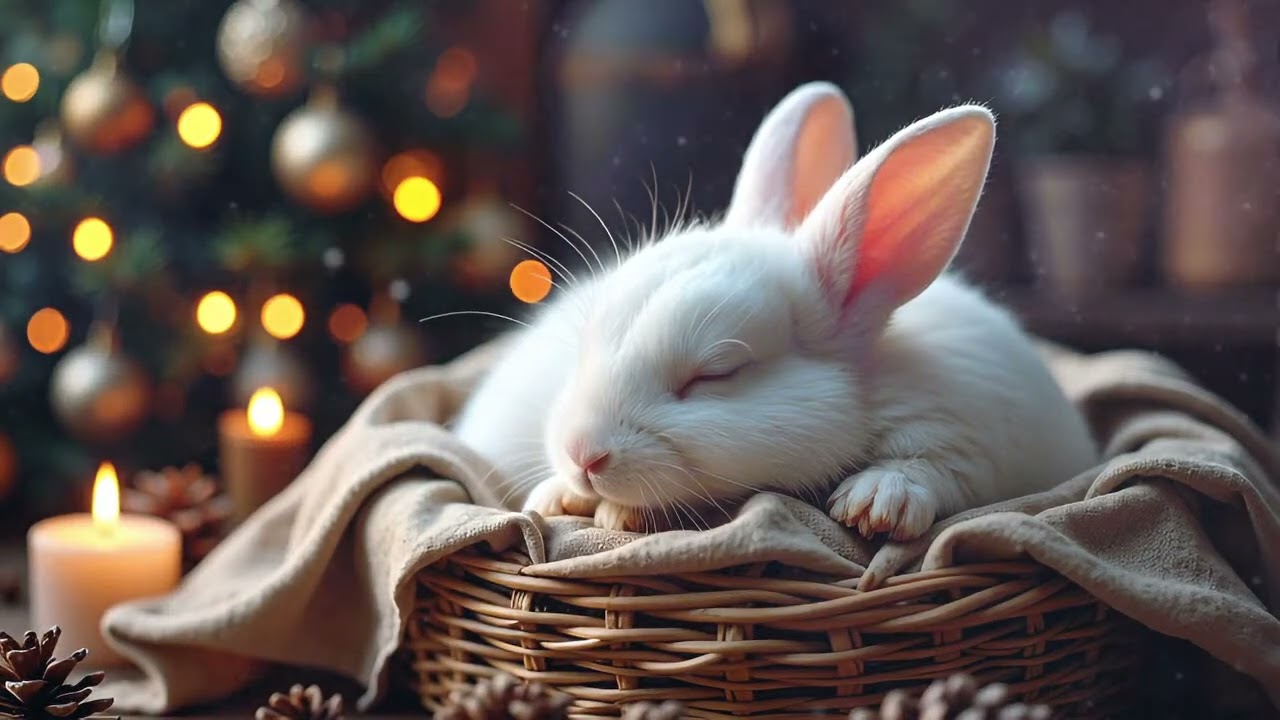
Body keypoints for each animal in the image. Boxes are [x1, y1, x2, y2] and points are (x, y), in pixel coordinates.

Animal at [450, 81, 1099, 540]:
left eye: (715, 374)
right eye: (586, 344)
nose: (581, 454)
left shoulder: (971, 442)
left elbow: (936, 470)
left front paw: (875, 503)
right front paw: (560, 498)